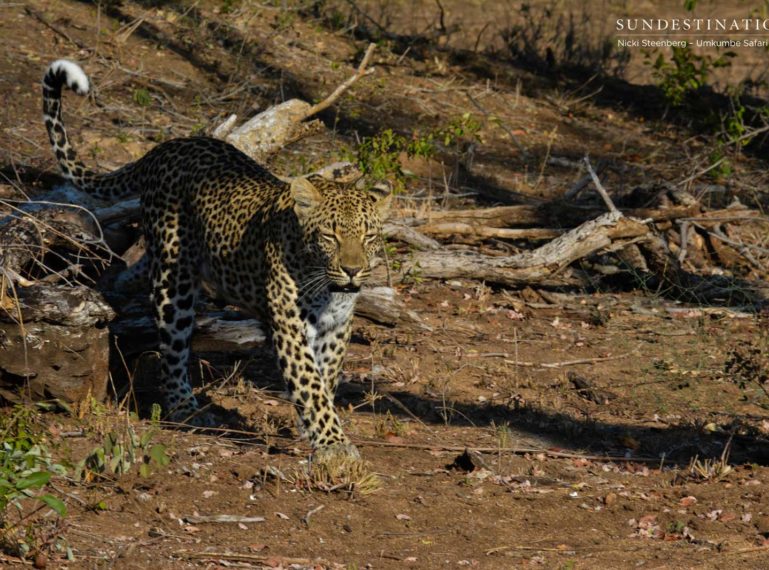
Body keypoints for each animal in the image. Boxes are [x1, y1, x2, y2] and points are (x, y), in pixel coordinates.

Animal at [41, 58, 390, 458]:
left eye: (369, 237)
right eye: (330, 236)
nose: (353, 271)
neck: (326, 288)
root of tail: (169, 146)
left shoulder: (335, 327)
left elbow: (326, 378)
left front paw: (314, 429)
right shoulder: (289, 325)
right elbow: (309, 382)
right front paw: (334, 444)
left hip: (166, 256)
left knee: (129, 272)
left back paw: (109, 288)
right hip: (175, 282)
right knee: (173, 351)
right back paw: (185, 409)